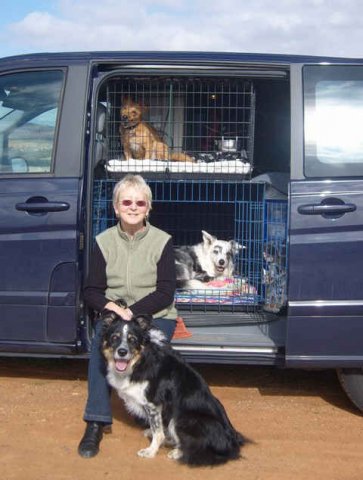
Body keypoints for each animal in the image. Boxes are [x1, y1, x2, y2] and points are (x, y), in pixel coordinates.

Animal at [101, 312, 246, 464]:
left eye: (132, 339)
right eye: (114, 337)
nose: (122, 352)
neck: (139, 362)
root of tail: (232, 442)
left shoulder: (154, 404)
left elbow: (158, 432)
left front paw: (151, 451)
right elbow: (159, 428)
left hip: (183, 418)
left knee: (195, 445)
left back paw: (177, 452)